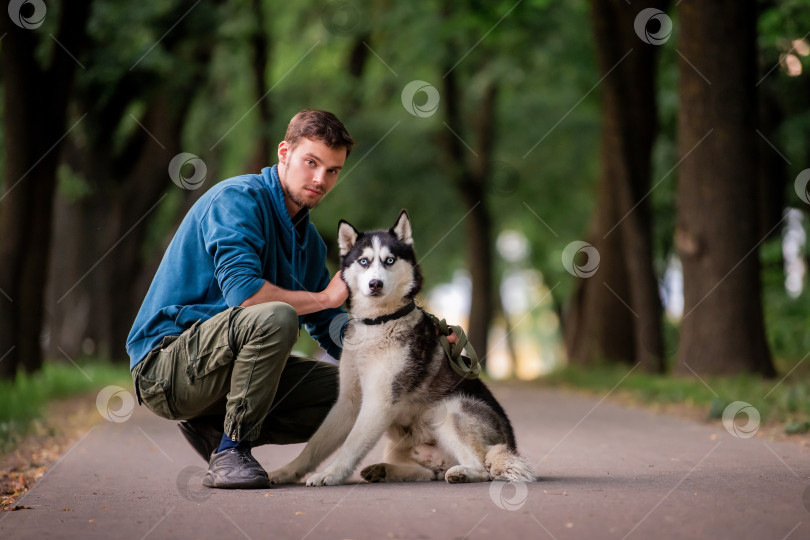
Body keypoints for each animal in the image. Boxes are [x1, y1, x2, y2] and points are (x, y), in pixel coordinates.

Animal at [266, 211, 532, 486]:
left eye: (389, 260)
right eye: (363, 261)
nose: (375, 283)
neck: (377, 323)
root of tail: (509, 443)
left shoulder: (379, 401)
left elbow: (352, 445)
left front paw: (331, 474)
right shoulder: (348, 401)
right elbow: (314, 446)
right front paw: (285, 472)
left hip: (450, 408)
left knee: (482, 468)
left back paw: (462, 472)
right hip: (402, 443)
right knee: (427, 473)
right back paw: (384, 470)